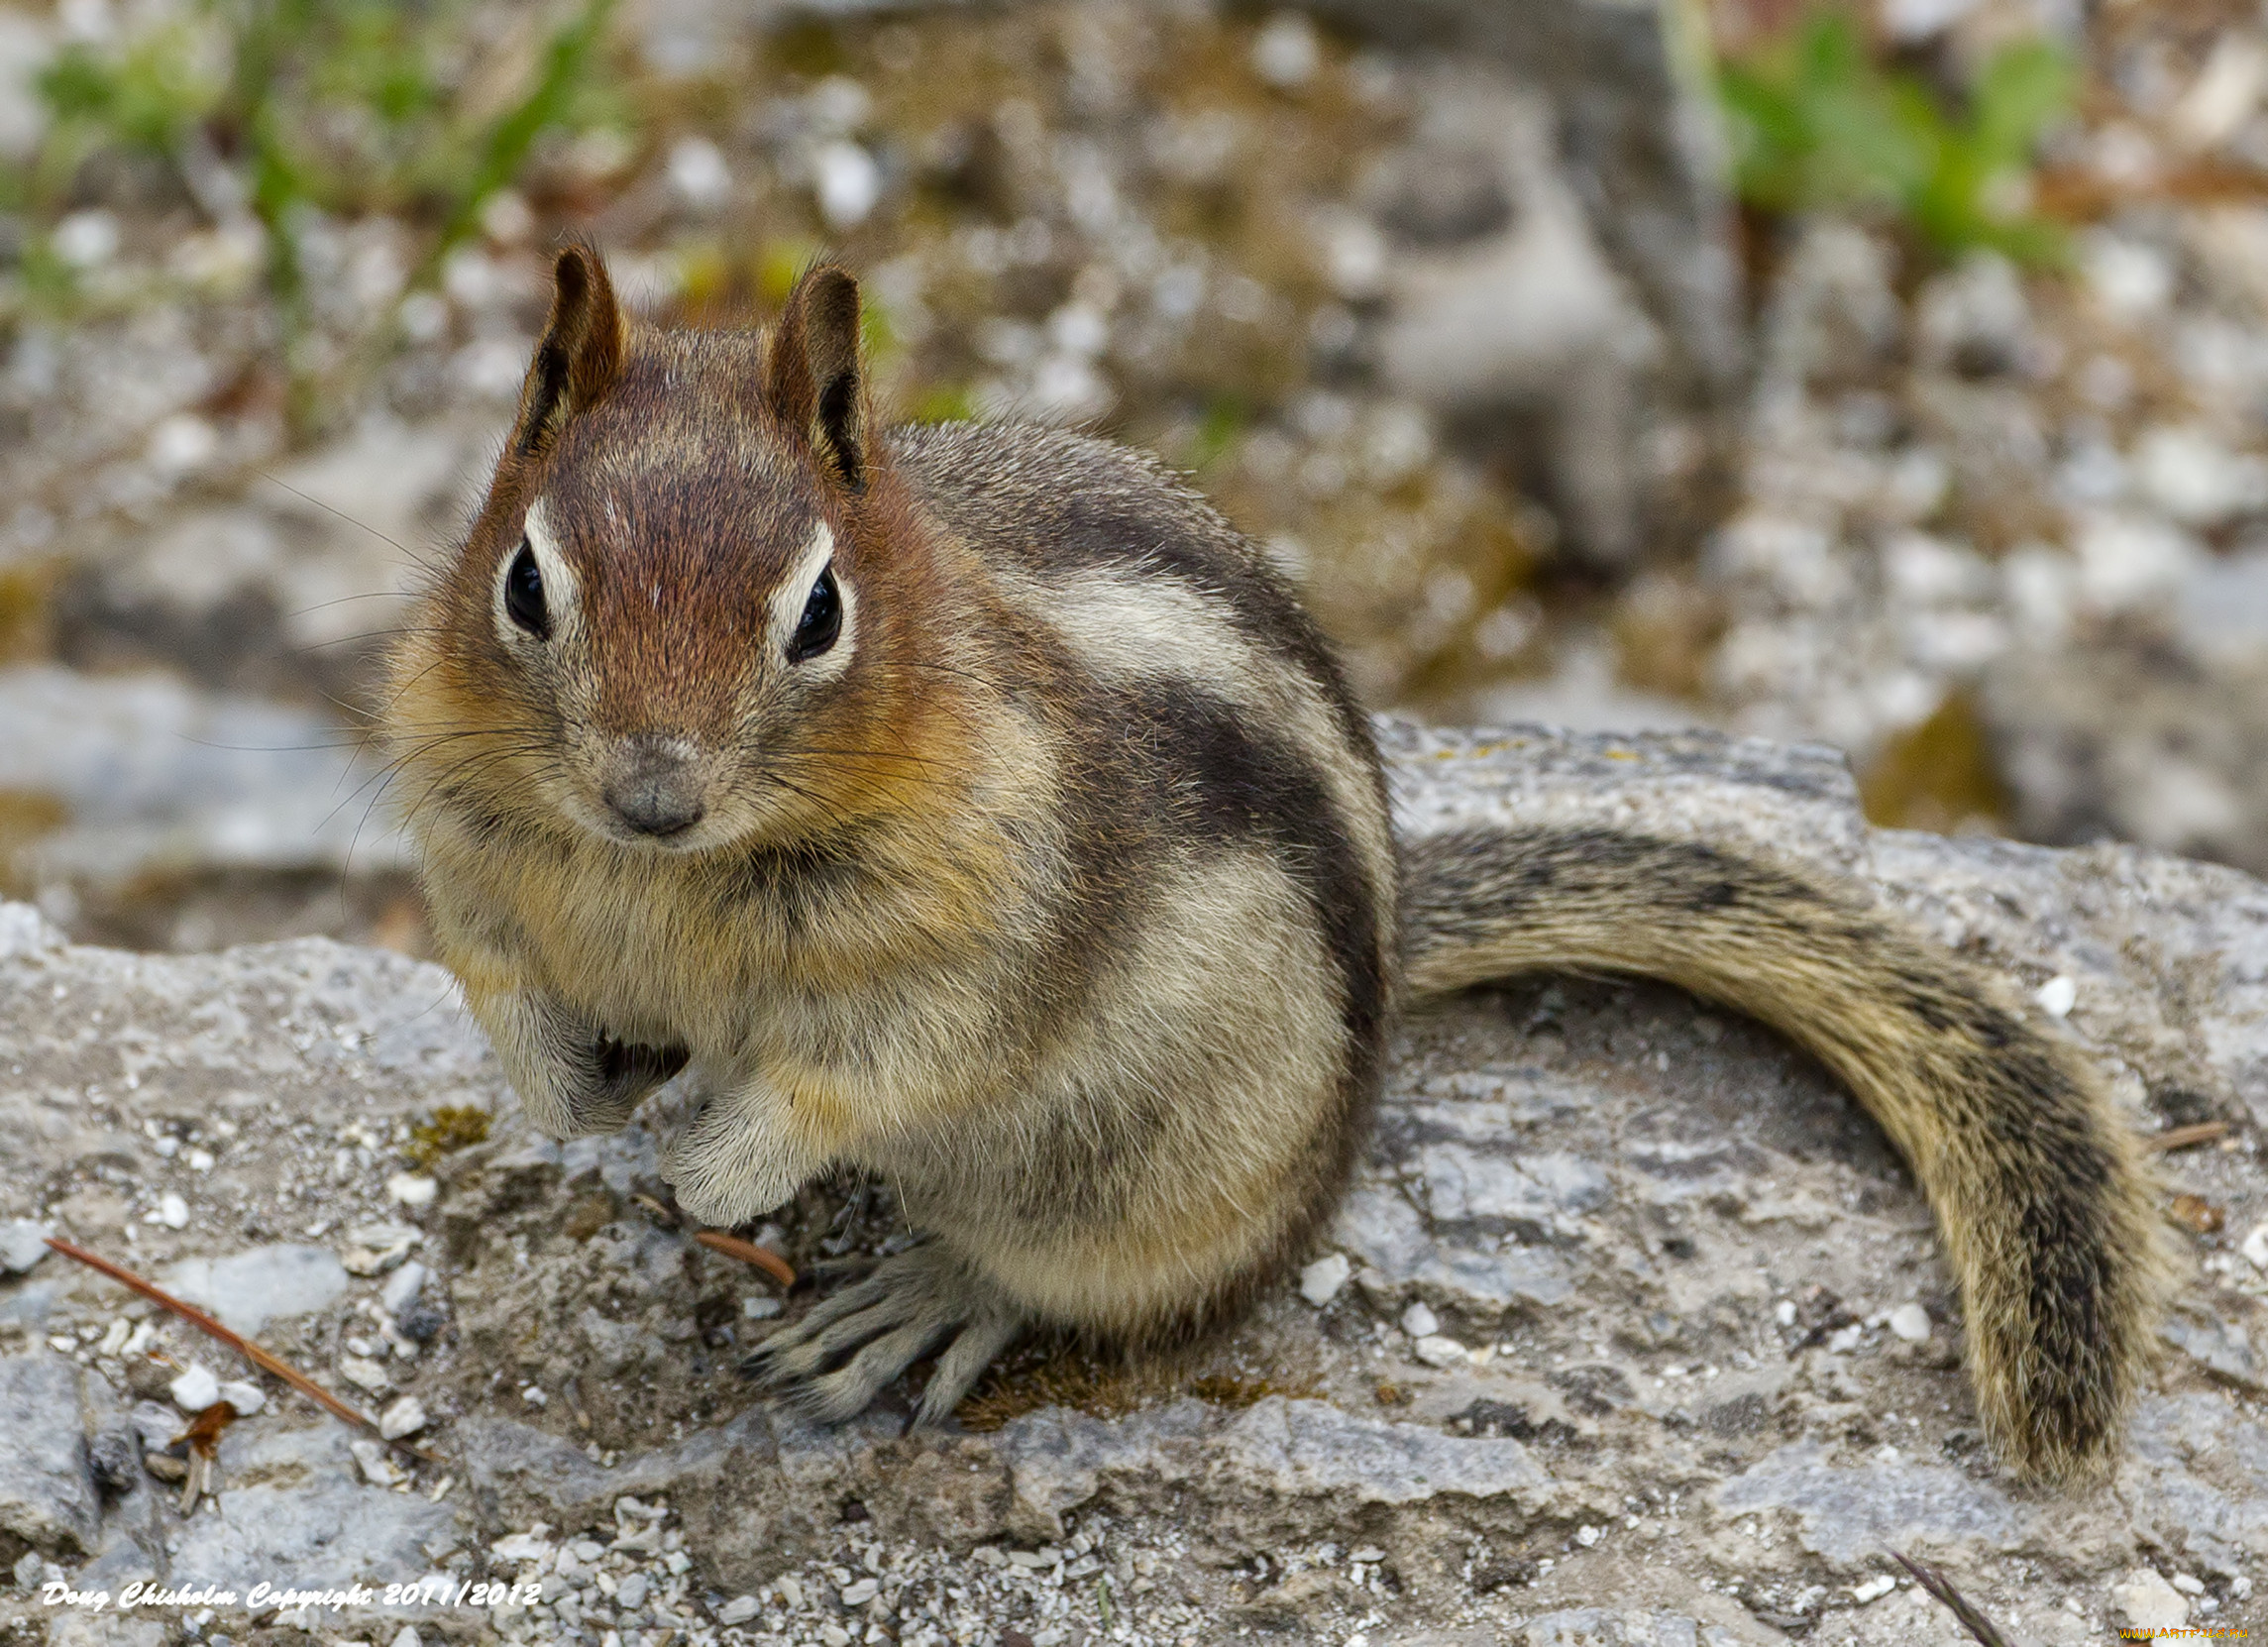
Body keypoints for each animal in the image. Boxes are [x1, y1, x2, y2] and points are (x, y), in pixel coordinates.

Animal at [389, 252, 2159, 1487]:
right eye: (528, 583)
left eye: (817, 613)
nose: (652, 793)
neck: (666, 883)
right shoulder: (469, 858)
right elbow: (501, 979)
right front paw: (573, 1092)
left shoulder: (985, 929)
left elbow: (868, 1066)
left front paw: (712, 1169)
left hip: (1143, 1177)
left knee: (1079, 1272)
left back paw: (927, 1290)